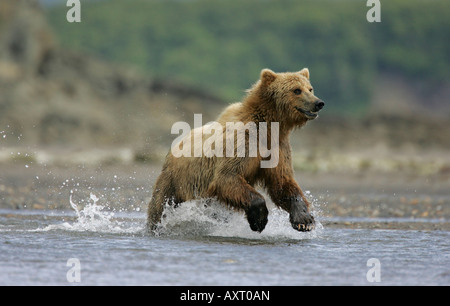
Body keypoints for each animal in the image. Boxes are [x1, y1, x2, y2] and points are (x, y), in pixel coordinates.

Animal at [148, 68, 324, 233]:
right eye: (296, 90)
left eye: (310, 88)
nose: (318, 103)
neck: (268, 127)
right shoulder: (241, 142)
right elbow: (227, 176)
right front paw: (259, 220)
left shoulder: (278, 147)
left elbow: (282, 182)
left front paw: (304, 220)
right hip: (175, 181)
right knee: (159, 206)